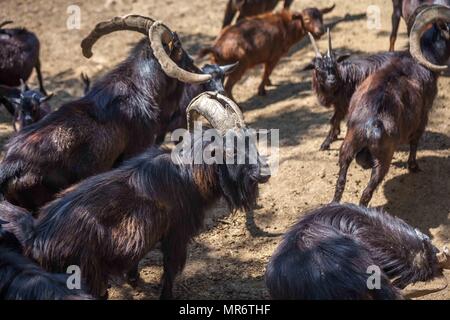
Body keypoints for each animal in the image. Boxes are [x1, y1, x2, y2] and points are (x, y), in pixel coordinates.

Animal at [200, 6, 334, 99]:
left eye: (321, 17)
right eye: (306, 19)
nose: (320, 31)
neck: (285, 27)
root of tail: (216, 48)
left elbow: (267, 73)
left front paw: (268, 84)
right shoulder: (274, 56)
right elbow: (267, 72)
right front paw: (261, 90)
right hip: (240, 66)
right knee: (228, 87)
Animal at [330, 5, 450, 206]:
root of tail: (370, 124)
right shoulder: (423, 117)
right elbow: (415, 142)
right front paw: (413, 166)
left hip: (347, 148)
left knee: (340, 183)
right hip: (382, 160)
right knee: (366, 193)